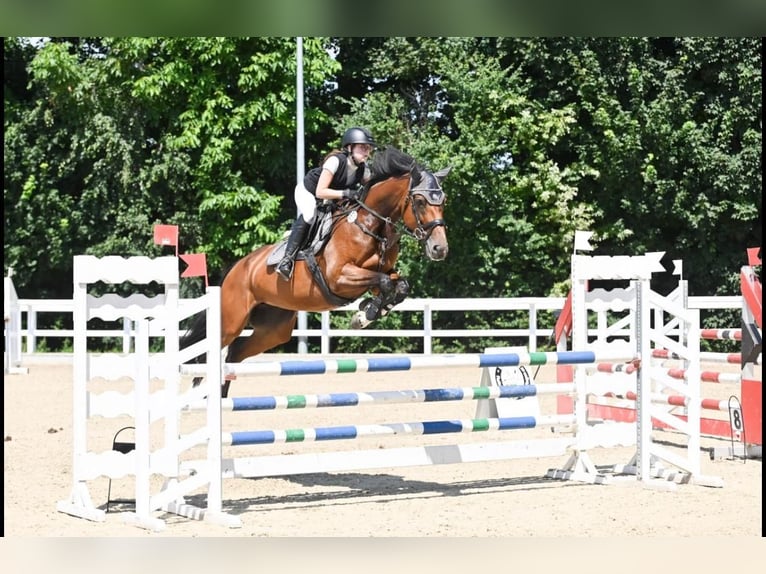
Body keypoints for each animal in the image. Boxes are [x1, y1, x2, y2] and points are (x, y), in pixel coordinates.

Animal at [182, 147, 450, 395]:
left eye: (443, 202)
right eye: (420, 202)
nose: (440, 249)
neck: (369, 225)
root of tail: (237, 268)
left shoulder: (378, 274)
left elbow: (399, 285)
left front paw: (368, 312)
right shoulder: (339, 277)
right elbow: (384, 282)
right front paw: (366, 314)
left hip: (274, 328)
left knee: (235, 354)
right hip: (231, 321)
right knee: (209, 354)